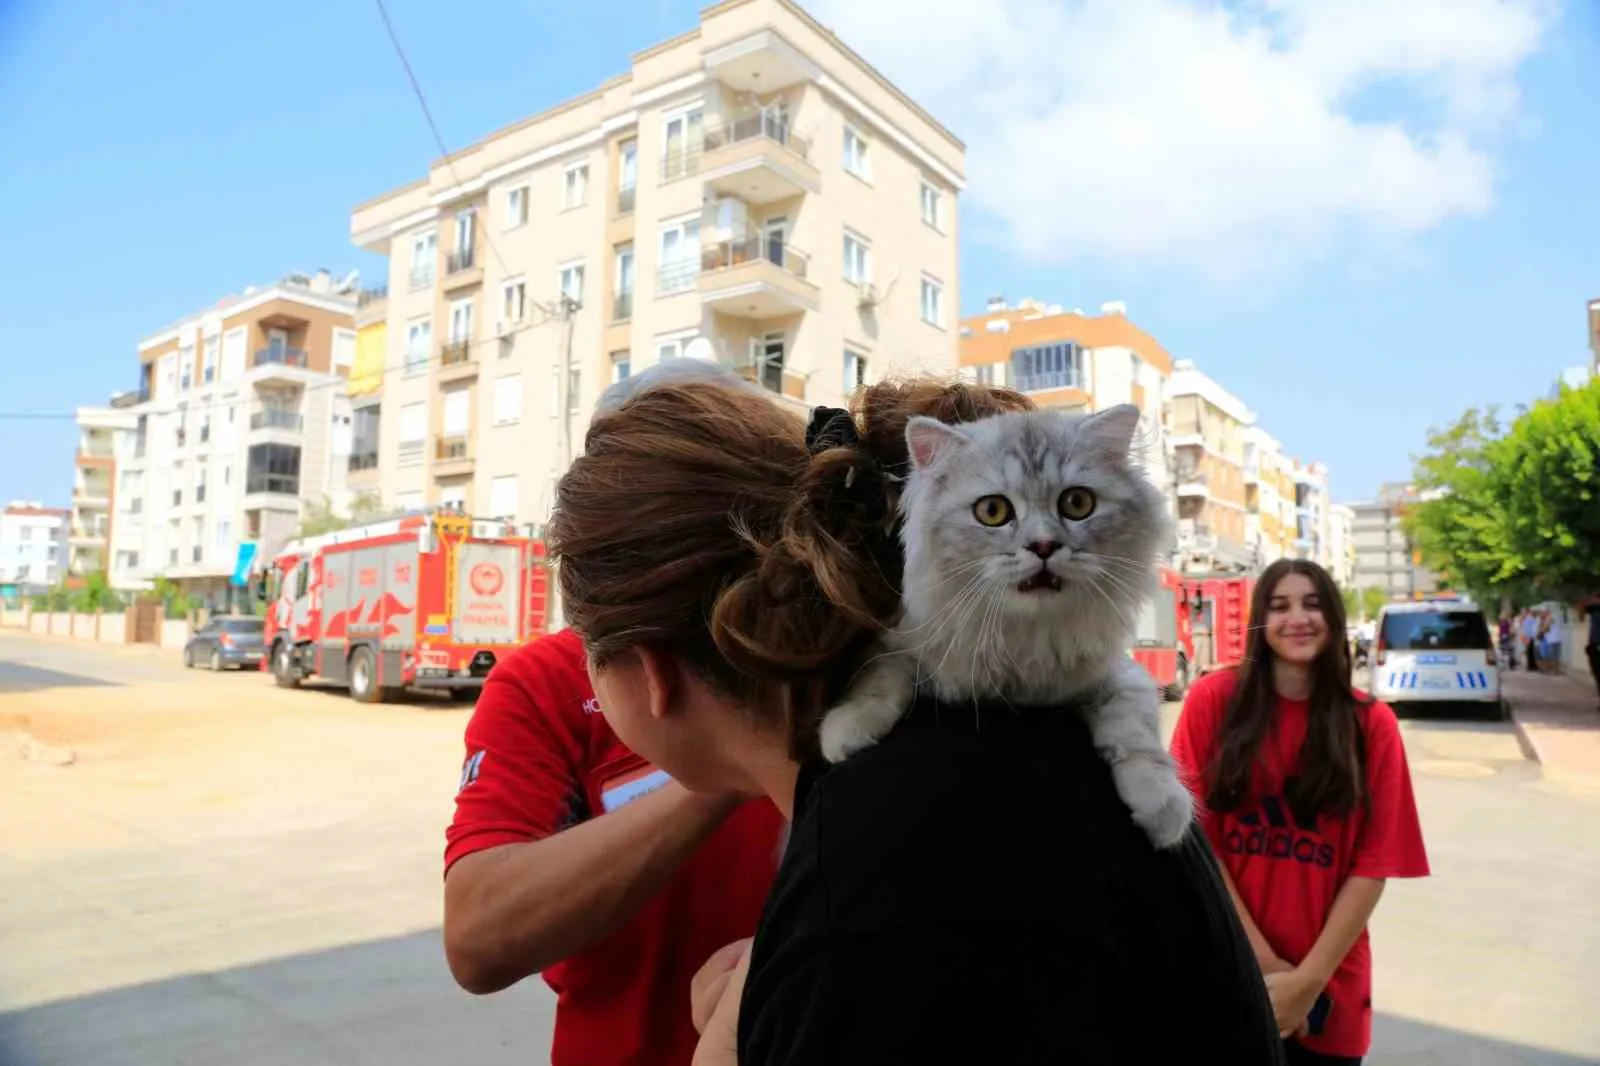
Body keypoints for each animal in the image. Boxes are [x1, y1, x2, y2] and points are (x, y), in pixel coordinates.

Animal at [819, 403, 1196, 845]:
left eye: (1077, 503)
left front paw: (1163, 804)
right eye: (993, 511)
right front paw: (846, 730)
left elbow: (1137, 731)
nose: (1043, 546)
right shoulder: (895, 642)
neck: (1025, 634)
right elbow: (877, 683)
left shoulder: (1114, 670)